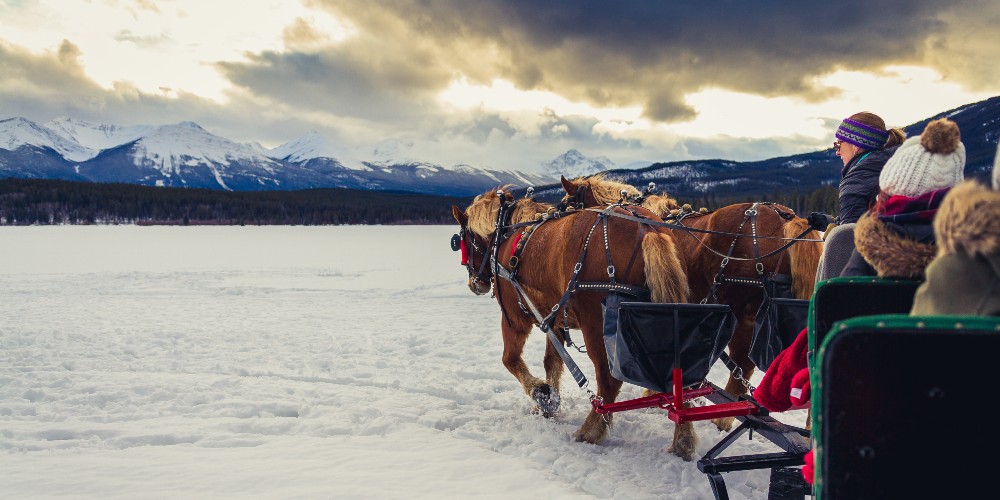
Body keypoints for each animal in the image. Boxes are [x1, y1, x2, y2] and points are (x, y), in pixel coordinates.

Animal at [454, 187, 704, 458]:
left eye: (462, 240)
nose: (474, 284)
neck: (508, 233)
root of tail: (648, 229)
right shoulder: (553, 320)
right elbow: (552, 361)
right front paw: (549, 404)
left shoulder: (514, 317)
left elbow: (509, 359)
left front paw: (540, 392)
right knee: (678, 376)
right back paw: (683, 440)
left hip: (595, 325)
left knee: (608, 381)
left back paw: (590, 430)